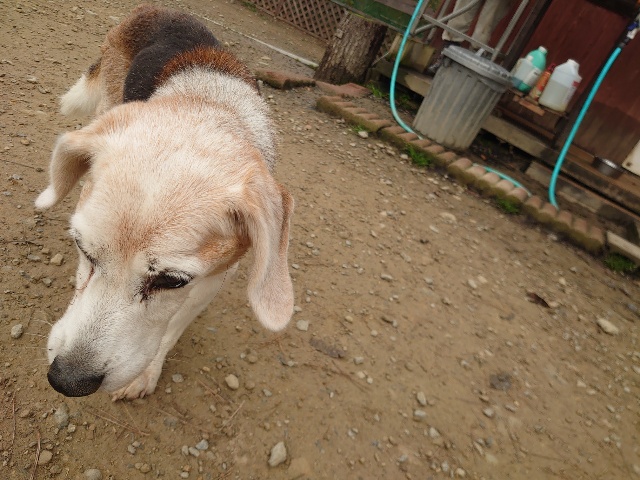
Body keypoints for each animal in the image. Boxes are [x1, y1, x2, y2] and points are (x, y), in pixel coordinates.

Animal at [35, 4, 294, 400]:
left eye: (171, 282)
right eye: (83, 249)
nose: (68, 381)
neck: (205, 109)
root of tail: (155, 9)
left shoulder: (211, 280)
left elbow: (172, 327)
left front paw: (146, 373)